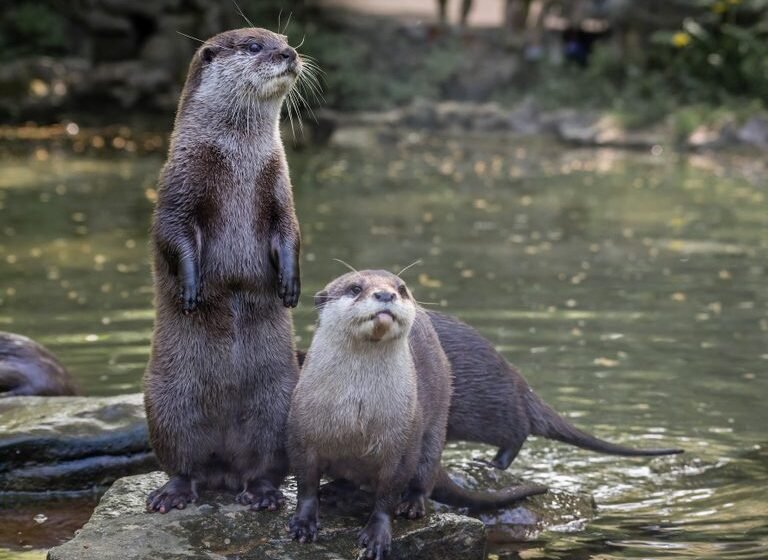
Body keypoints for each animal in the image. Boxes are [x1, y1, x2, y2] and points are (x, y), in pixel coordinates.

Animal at [144, 28, 304, 516]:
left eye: (283, 37)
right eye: (254, 46)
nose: (290, 53)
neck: (238, 160)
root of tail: (224, 468)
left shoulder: (280, 183)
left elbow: (290, 231)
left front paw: (291, 284)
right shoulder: (178, 181)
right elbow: (172, 234)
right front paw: (192, 288)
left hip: (279, 402)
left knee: (265, 463)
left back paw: (263, 494)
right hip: (165, 401)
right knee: (183, 461)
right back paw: (172, 494)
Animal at [288, 270, 544, 556]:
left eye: (401, 289)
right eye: (355, 288)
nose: (386, 294)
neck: (357, 412)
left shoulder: (402, 440)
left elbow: (388, 493)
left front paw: (378, 534)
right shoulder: (301, 430)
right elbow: (306, 484)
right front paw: (303, 523)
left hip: (434, 429)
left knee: (425, 474)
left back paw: (412, 504)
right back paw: (336, 490)